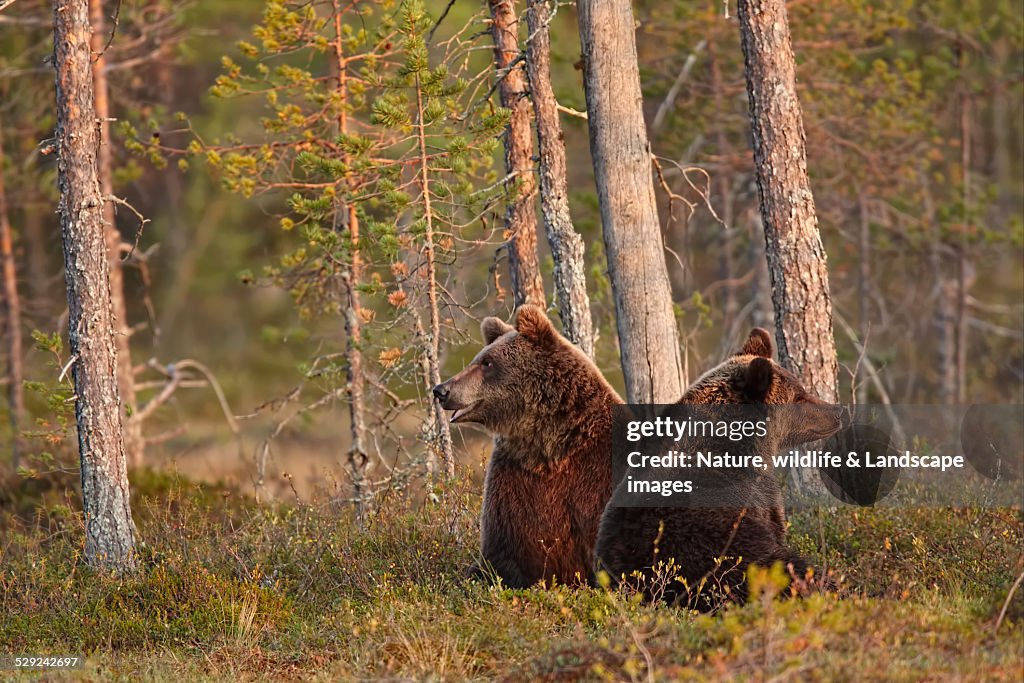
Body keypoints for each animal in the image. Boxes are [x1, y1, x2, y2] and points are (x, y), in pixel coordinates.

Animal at [428, 305, 618, 589]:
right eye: (479, 358)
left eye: (487, 362)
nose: (441, 390)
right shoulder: (515, 479)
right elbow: (503, 553)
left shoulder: (597, 474)